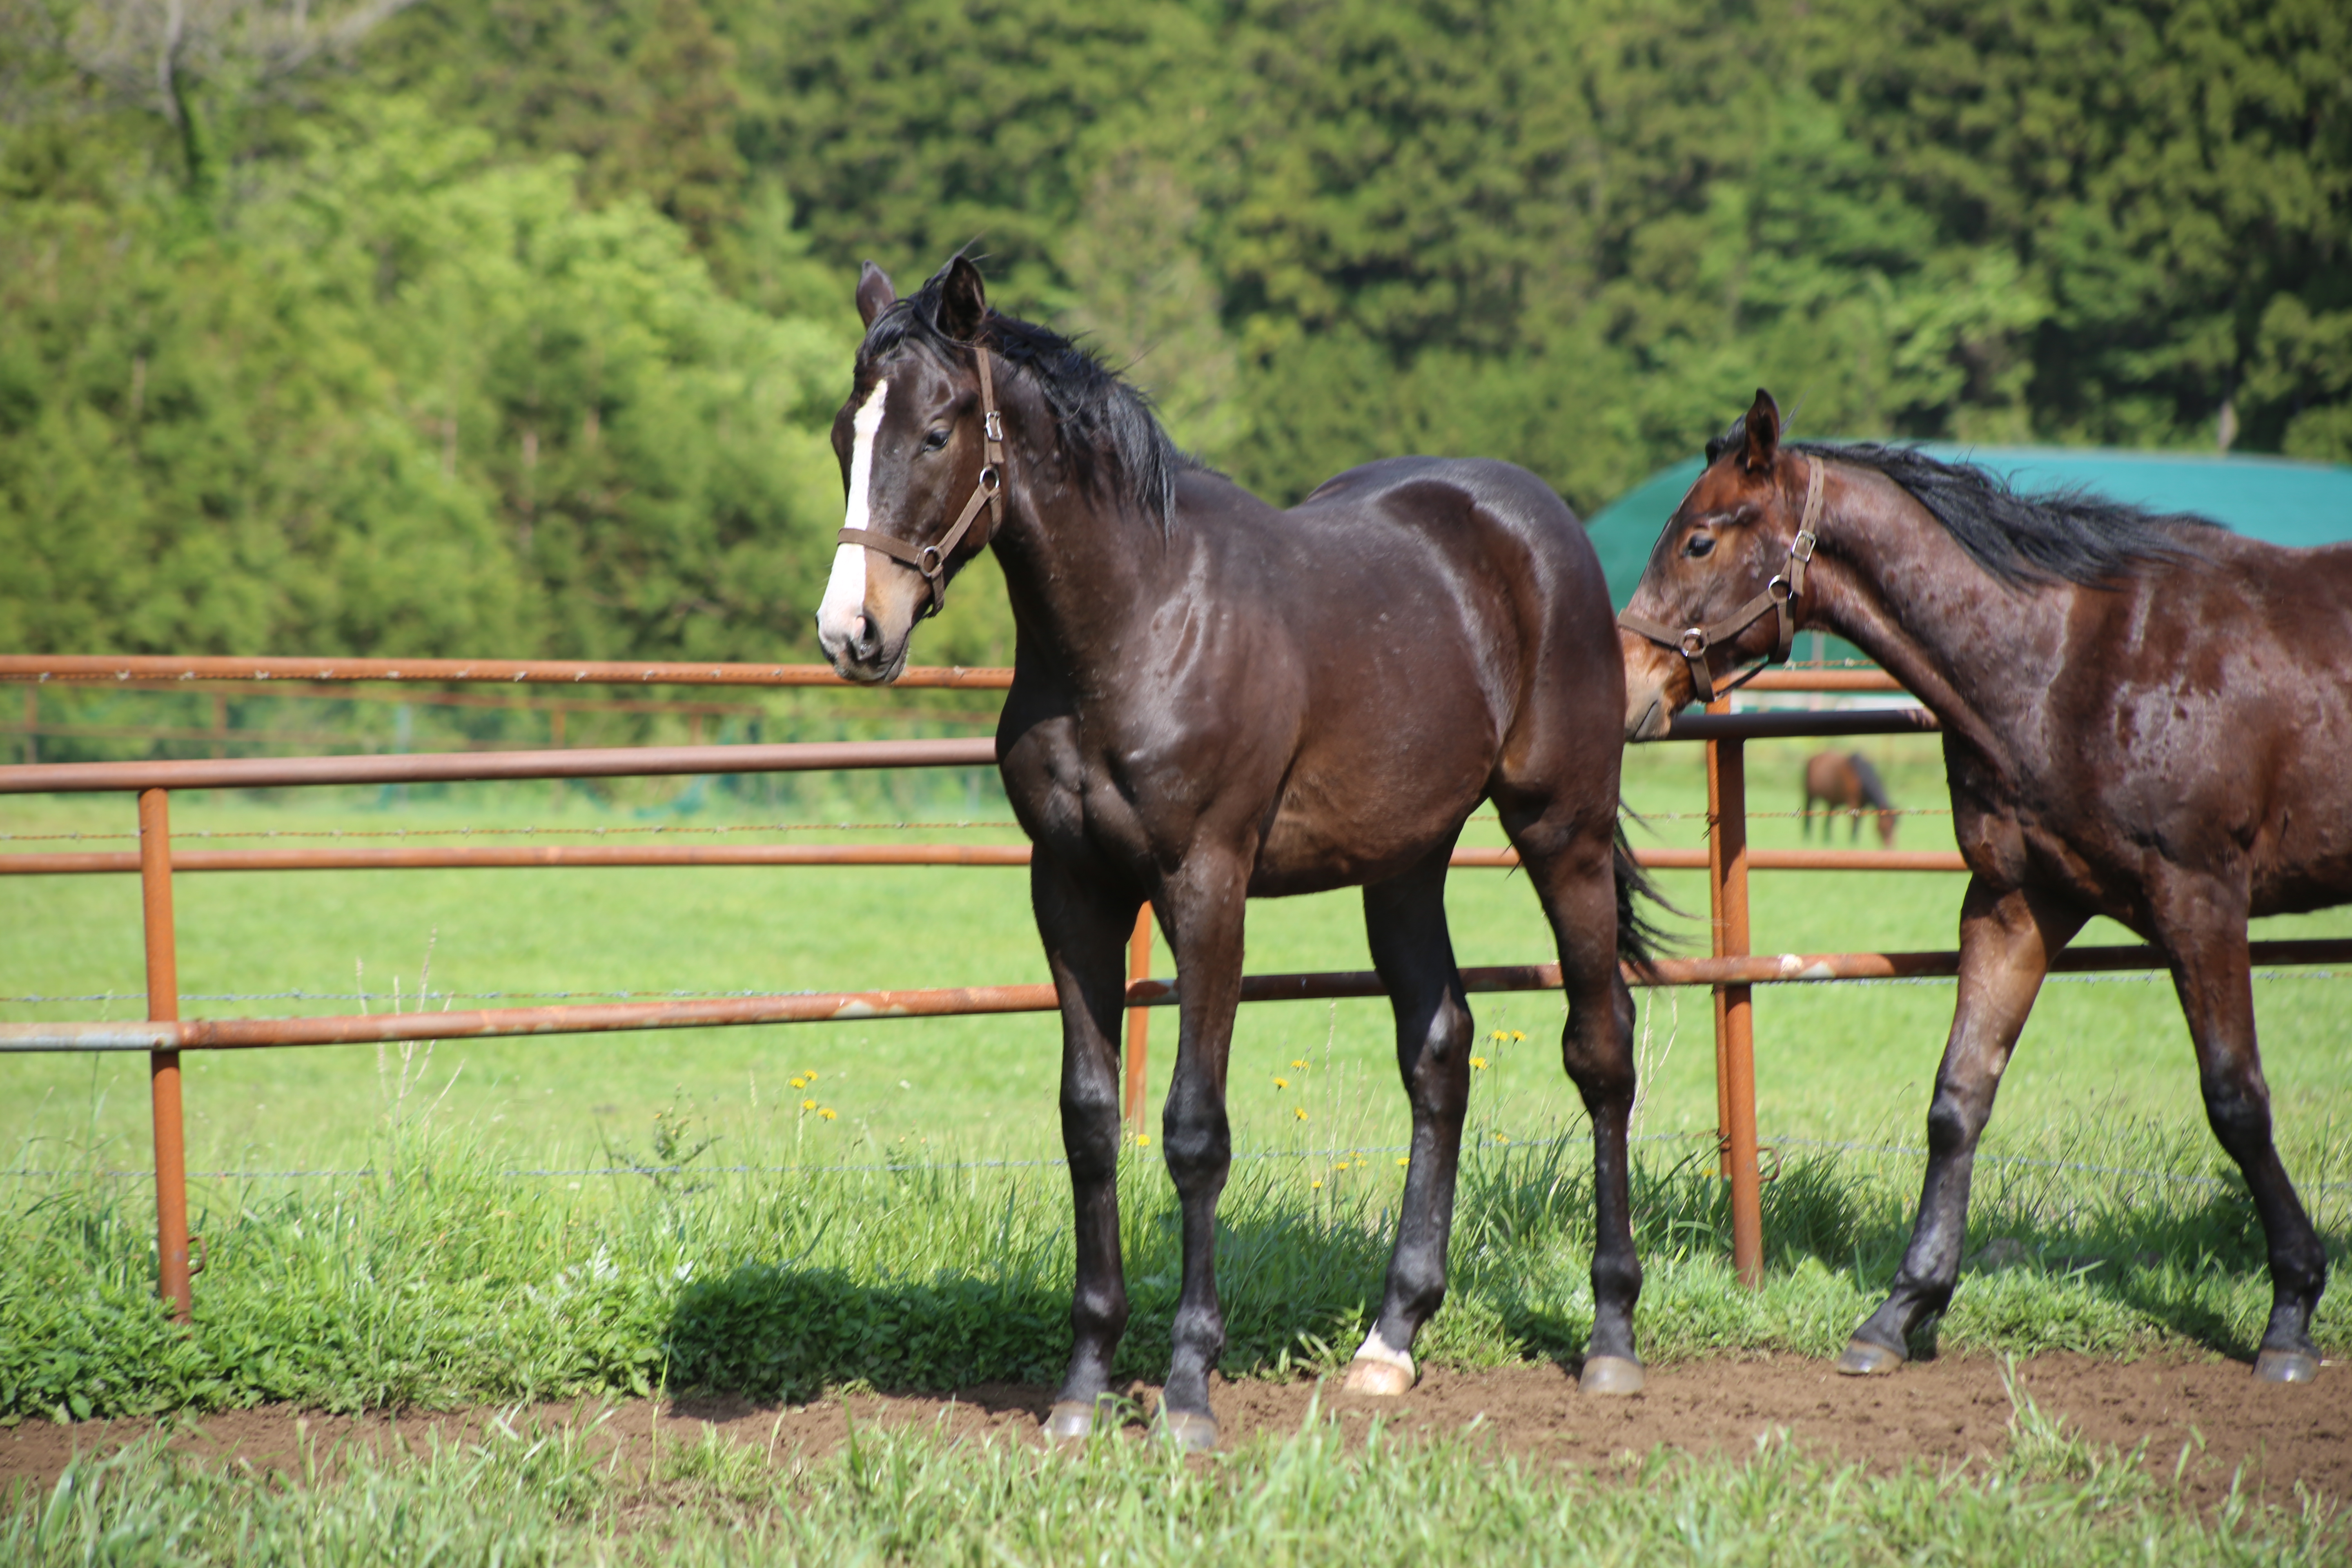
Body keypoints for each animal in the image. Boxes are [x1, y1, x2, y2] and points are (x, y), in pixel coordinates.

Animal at [809, 257, 1656, 1448]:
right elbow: (1089, 1121)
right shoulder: (1070, 887)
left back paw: (1611, 1336)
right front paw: (1081, 1385)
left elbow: (1192, 1131)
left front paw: (1186, 1390)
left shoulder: (1206, 884)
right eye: (844, 436)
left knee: (1601, 1045)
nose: (853, 635)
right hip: (1405, 860)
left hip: (1561, 828)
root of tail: (1534, 523)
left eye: (934, 433)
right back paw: (1391, 1341)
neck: (1137, 622)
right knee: (1439, 1049)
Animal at [1806, 747, 1900, 846]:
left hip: (1832, 801)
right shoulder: (1853, 802)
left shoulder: (1863, 805)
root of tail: (1814, 758)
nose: (1890, 846)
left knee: (1829, 820)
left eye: (1895, 825)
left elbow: (1859, 822)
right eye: (1885, 825)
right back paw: (1807, 836)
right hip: (1810, 796)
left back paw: (1827, 839)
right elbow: (1854, 821)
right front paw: (1853, 841)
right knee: (1809, 815)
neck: (1860, 776)